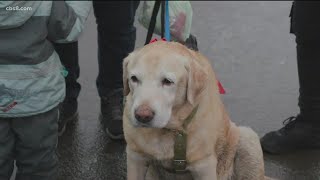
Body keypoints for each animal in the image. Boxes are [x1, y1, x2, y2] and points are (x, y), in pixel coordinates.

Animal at [122, 41, 264, 180]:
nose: (142, 116)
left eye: (167, 81)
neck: (172, 130)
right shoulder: (135, 156)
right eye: (134, 79)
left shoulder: (204, 166)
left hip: (247, 137)